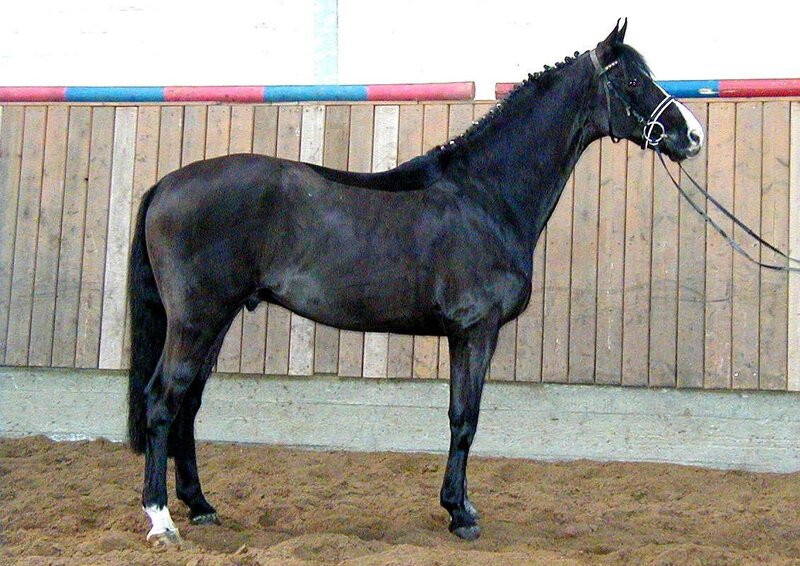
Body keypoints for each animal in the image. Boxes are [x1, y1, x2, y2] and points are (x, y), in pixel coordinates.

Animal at [127, 19, 704, 544]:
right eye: (633, 80)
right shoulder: (476, 330)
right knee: (162, 400)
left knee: (187, 405)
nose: (692, 134)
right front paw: (460, 514)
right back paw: (161, 519)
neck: (485, 196)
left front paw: (458, 506)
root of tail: (166, 184)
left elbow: (459, 416)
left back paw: (201, 506)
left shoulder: (462, 334)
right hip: (197, 319)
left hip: (216, 320)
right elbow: (465, 418)